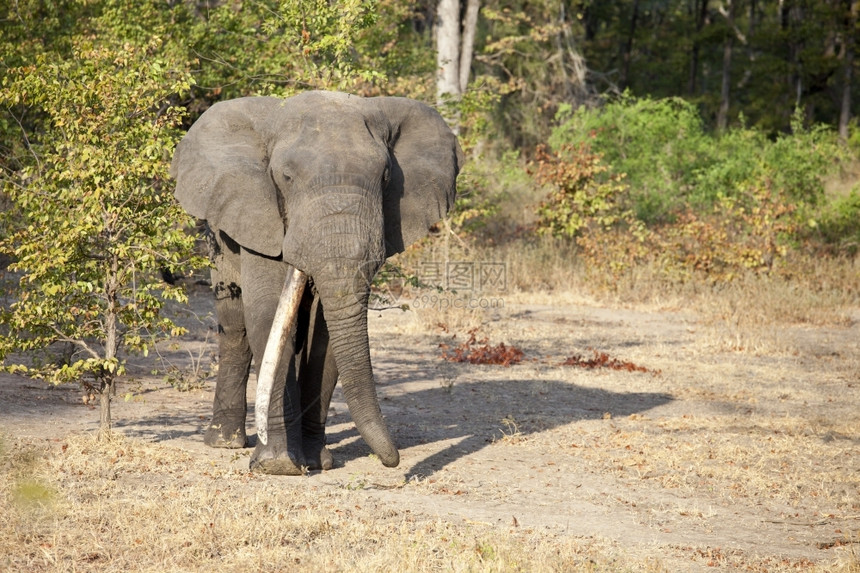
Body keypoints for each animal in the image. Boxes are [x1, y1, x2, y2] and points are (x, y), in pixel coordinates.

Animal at [170, 90, 464, 474]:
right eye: (286, 177)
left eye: (386, 177)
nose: (394, 461)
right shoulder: (260, 218)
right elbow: (268, 317)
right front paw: (279, 466)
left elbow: (324, 335)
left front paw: (316, 461)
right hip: (217, 238)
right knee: (235, 326)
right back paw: (225, 442)